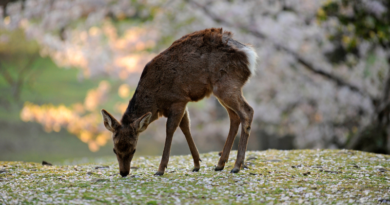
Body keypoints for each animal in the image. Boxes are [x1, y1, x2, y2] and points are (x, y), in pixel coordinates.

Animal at [101, 28, 256, 177]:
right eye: (114, 149)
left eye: (134, 150)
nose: (123, 172)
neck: (156, 100)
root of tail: (249, 55)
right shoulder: (182, 101)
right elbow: (186, 127)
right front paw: (196, 164)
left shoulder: (178, 99)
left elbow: (170, 129)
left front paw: (161, 169)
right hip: (220, 90)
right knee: (234, 117)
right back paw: (220, 164)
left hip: (227, 84)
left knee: (247, 111)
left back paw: (237, 166)